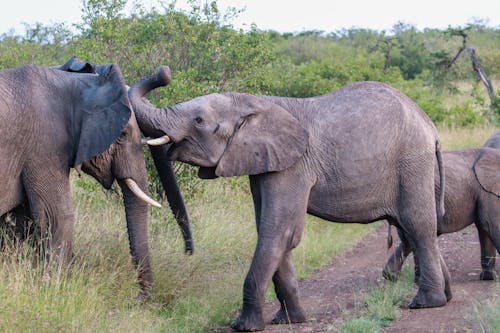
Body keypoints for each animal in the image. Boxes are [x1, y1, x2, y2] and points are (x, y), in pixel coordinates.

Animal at [0, 57, 168, 298]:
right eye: (122, 134)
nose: (140, 297)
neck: (73, 85)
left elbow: (21, 220)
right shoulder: (45, 147)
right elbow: (57, 216)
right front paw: (56, 286)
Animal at [128, 65, 450, 330]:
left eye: (198, 120)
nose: (164, 72)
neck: (255, 101)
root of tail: (430, 126)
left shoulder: (293, 166)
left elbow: (278, 231)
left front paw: (244, 325)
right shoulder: (263, 164)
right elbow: (273, 231)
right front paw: (289, 320)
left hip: (411, 161)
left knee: (417, 224)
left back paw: (426, 303)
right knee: (413, 229)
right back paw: (446, 296)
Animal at [382, 147, 500, 280]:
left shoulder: (483, 191)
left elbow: (484, 227)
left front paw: (488, 278)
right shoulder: (488, 191)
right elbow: (491, 224)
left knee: (410, 240)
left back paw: (393, 276)